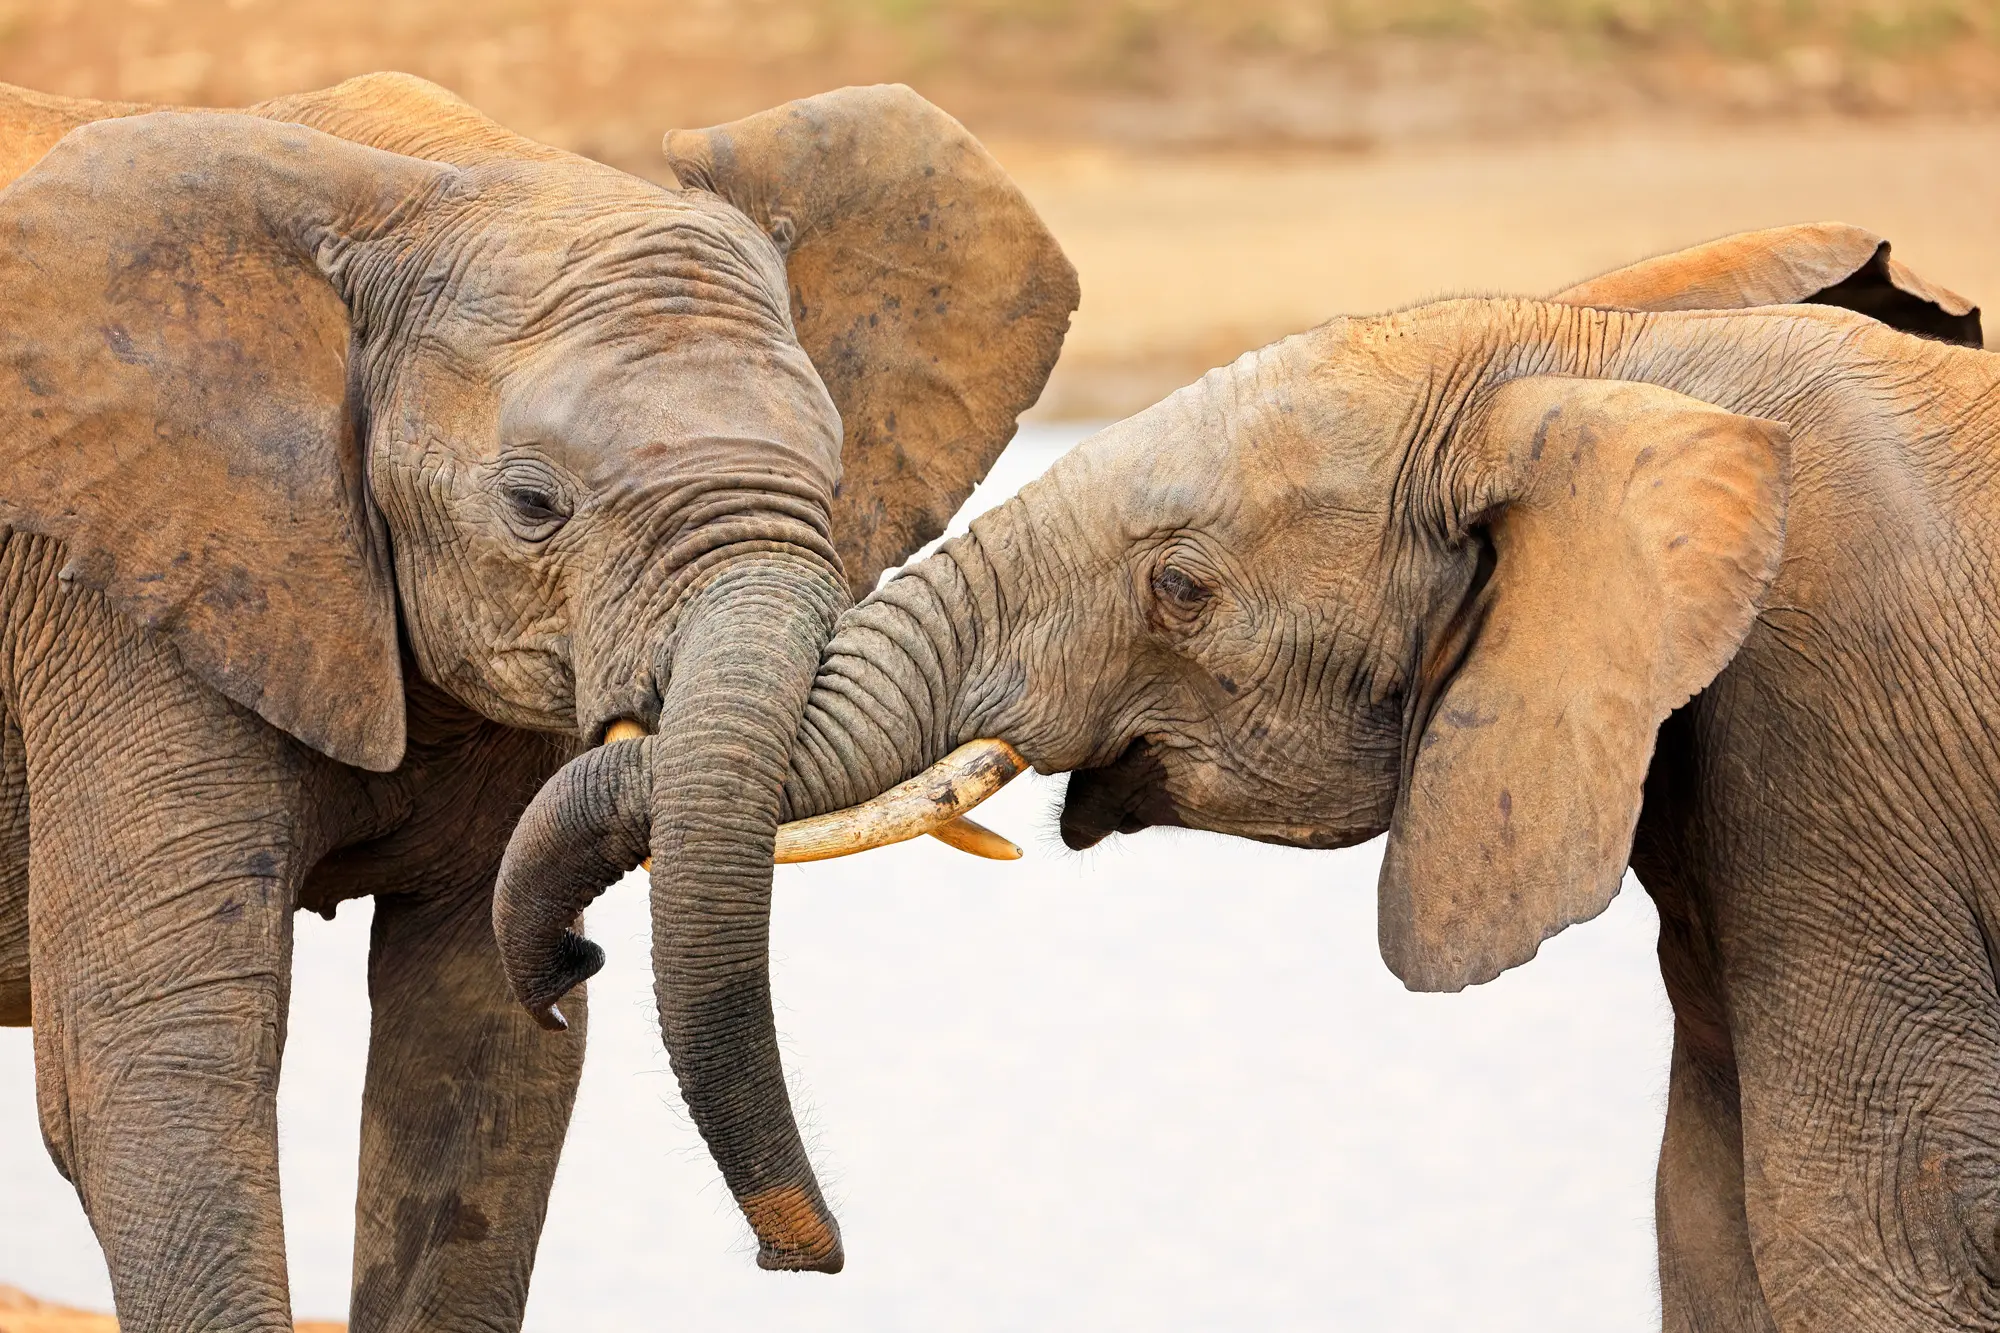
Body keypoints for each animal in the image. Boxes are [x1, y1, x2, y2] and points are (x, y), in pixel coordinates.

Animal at [0, 73, 1075, 1330]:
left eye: (837, 471)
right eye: (530, 503)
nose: (799, 1259)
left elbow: (474, 1053)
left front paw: (521, 1002)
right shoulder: (131, 594)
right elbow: (157, 1062)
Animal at [500, 223, 2000, 1330]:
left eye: (1181, 587)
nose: (569, 977)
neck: (1611, 360)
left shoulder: (1845, 724)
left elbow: (1869, 1234)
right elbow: (1706, 1222)